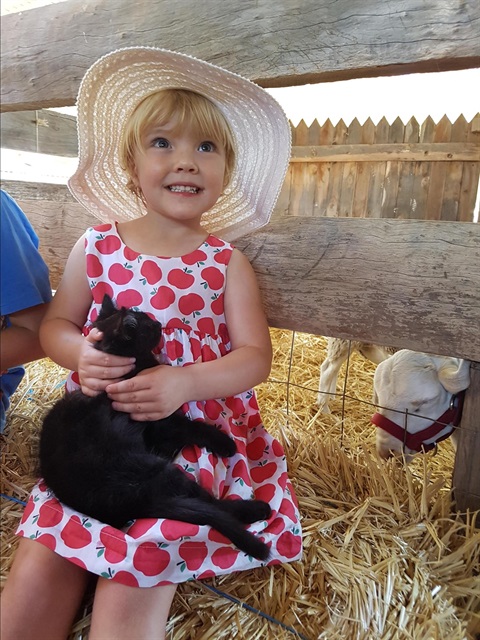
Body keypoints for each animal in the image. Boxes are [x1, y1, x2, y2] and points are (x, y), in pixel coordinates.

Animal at [38, 296, 270, 560]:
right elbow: (191, 426)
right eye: (146, 326)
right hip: (158, 469)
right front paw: (224, 442)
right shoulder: (160, 421)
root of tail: (137, 502)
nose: (158, 323)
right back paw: (257, 509)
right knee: (208, 502)